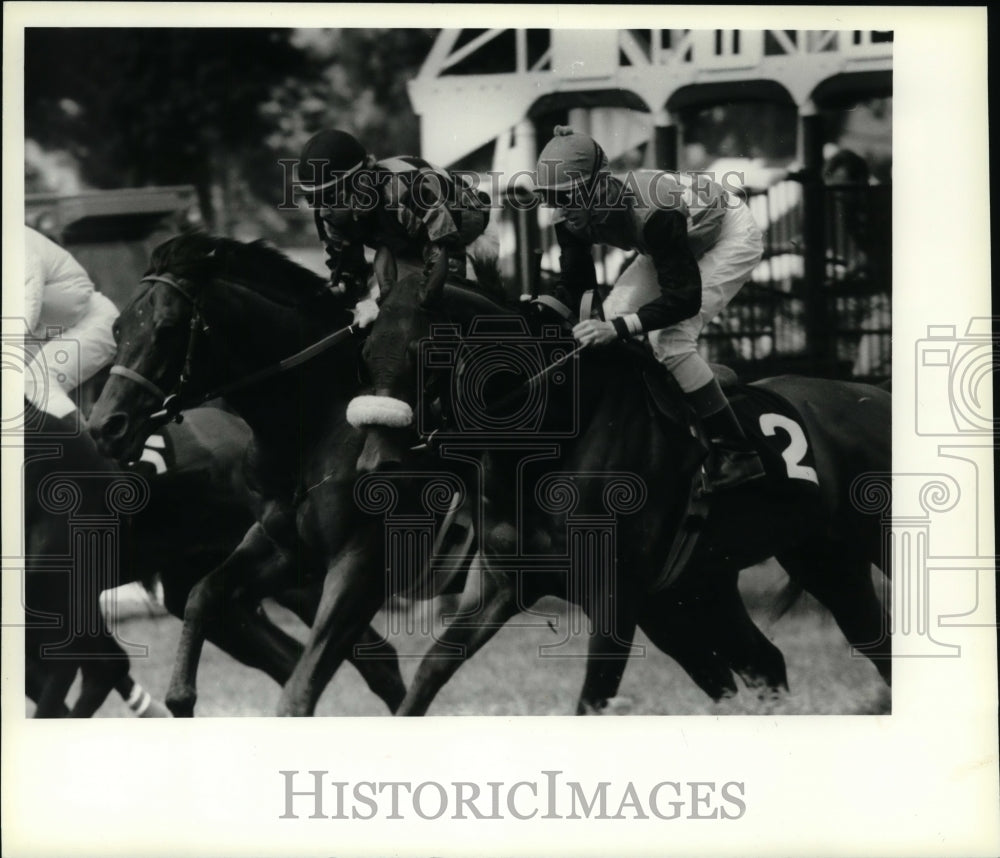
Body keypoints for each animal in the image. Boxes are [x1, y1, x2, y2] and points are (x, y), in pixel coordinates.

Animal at [350, 258, 892, 712]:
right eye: (367, 350)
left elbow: (594, 697)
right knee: (770, 661)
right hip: (754, 574)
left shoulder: (615, 598)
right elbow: (431, 670)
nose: (377, 462)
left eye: (423, 353)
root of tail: (872, 394)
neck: (552, 442)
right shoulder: (502, 582)